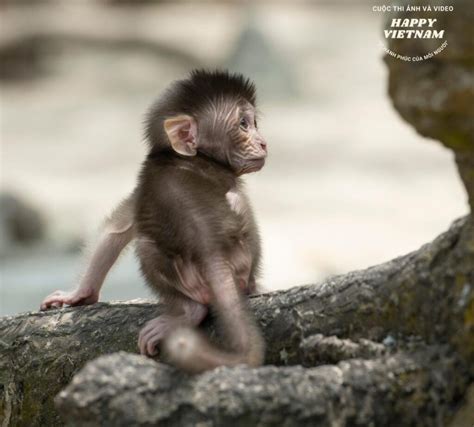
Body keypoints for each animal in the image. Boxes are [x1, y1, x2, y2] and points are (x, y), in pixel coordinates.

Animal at [40, 70, 266, 374]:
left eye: (254, 123)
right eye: (244, 124)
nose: (263, 142)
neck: (185, 156)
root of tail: (213, 252)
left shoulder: (145, 185)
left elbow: (116, 230)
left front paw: (78, 294)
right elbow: (118, 229)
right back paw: (196, 309)